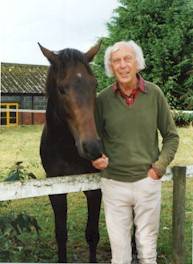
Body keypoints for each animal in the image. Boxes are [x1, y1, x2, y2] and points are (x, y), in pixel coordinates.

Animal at [38, 41, 103, 262]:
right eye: (61, 89)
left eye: (94, 85)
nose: (92, 147)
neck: (67, 149)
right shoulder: (56, 190)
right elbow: (61, 235)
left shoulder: (95, 189)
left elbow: (92, 234)